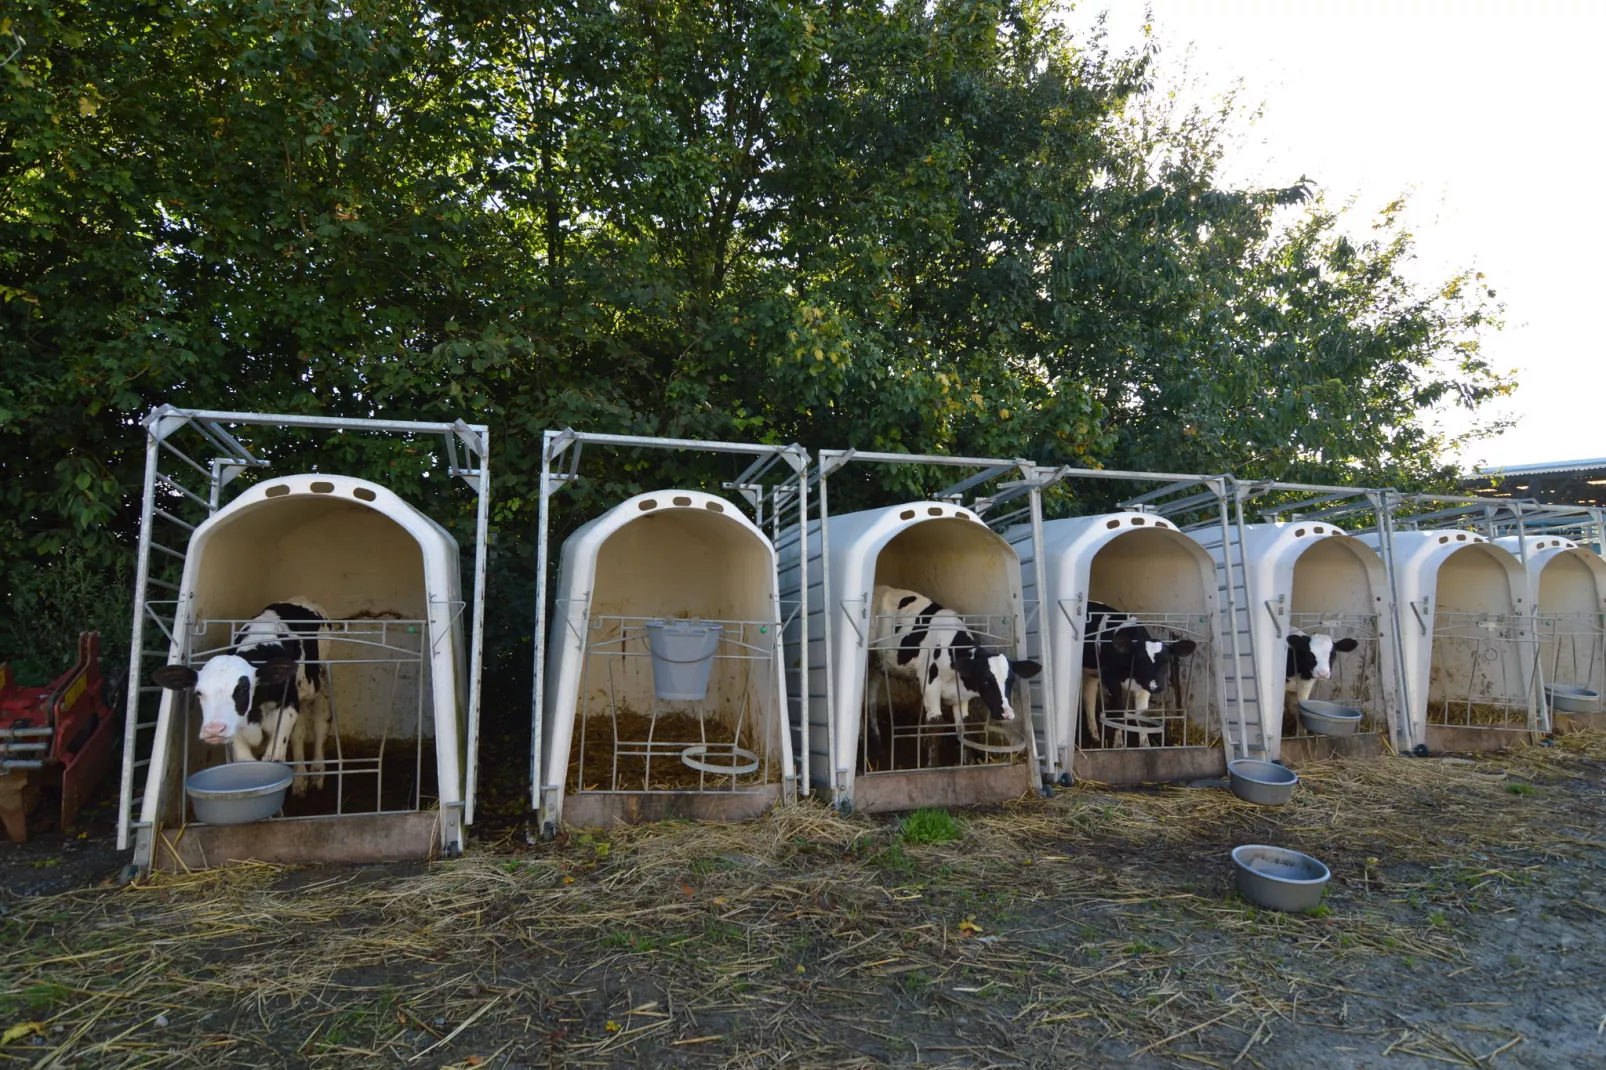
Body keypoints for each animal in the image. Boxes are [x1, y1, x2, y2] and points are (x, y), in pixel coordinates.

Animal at [151, 600, 330, 790]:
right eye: (199, 692)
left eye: (244, 689)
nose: (213, 730)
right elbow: (245, 761)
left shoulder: (288, 706)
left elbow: (273, 758)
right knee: (299, 733)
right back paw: (300, 778)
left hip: (321, 680)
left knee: (319, 724)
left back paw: (317, 770)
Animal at [867, 584, 1040, 732]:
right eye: (986, 680)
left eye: (1011, 680)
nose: (1007, 713)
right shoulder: (930, 687)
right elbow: (935, 729)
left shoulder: (961, 698)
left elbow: (962, 729)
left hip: (879, 664)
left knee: (872, 696)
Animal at [1085, 600, 1201, 742]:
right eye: (1141, 661)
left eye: (1166, 661)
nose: (1155, 687)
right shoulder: (1110, 679)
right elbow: (1119, 712)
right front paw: (1118, 743)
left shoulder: (1144, 688)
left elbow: (1141, 717)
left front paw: (1145, 743)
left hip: (1092, 673)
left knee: (1089, 694)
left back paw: (1095, 735)